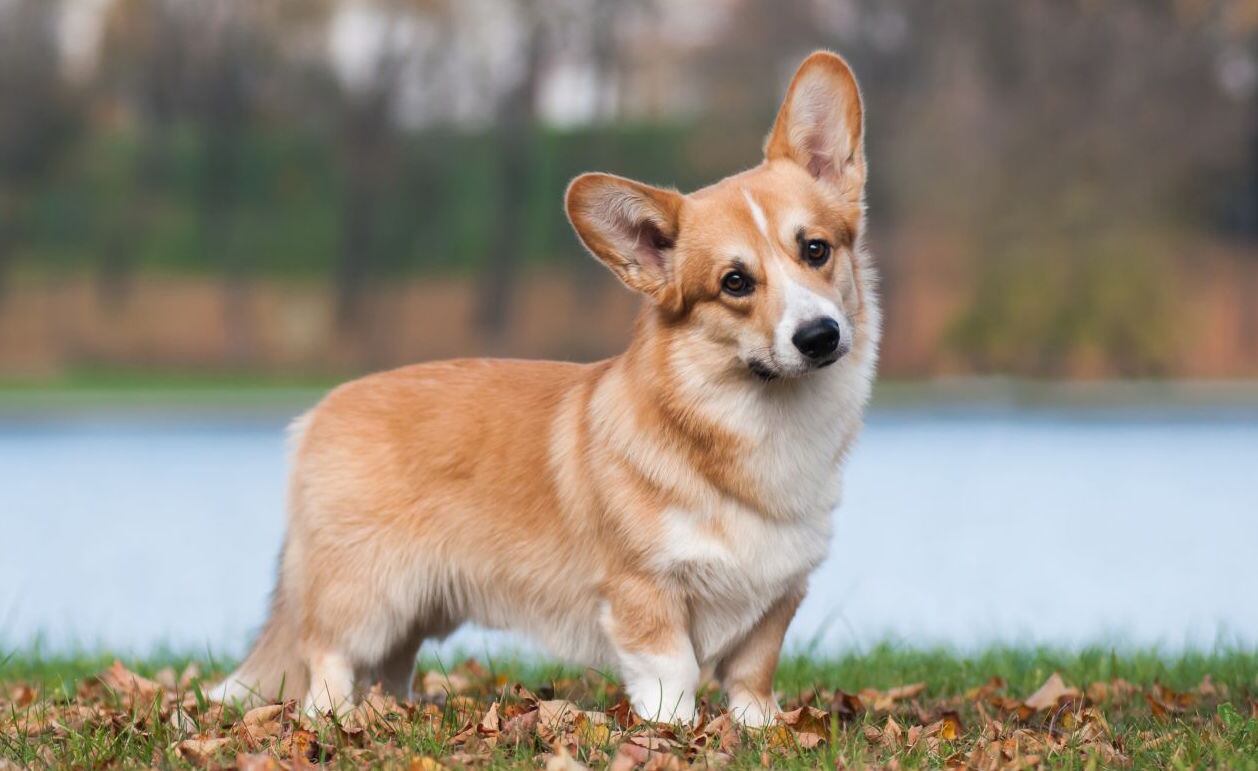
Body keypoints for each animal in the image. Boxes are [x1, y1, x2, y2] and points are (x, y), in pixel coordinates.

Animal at [211, 51, 880, 724]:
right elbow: (674, 676)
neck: (759, 421)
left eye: (815, 249)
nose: (819, 336)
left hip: (416, 606)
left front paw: (759, 729)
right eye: (734, 282)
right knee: (326, 654)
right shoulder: (644, 592)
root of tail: (318, 413)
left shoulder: (779, 595)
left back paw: (395, 712)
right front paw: (674, 731)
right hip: (370, 594)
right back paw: (339, 718)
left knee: (391, 666)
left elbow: (750, 677)